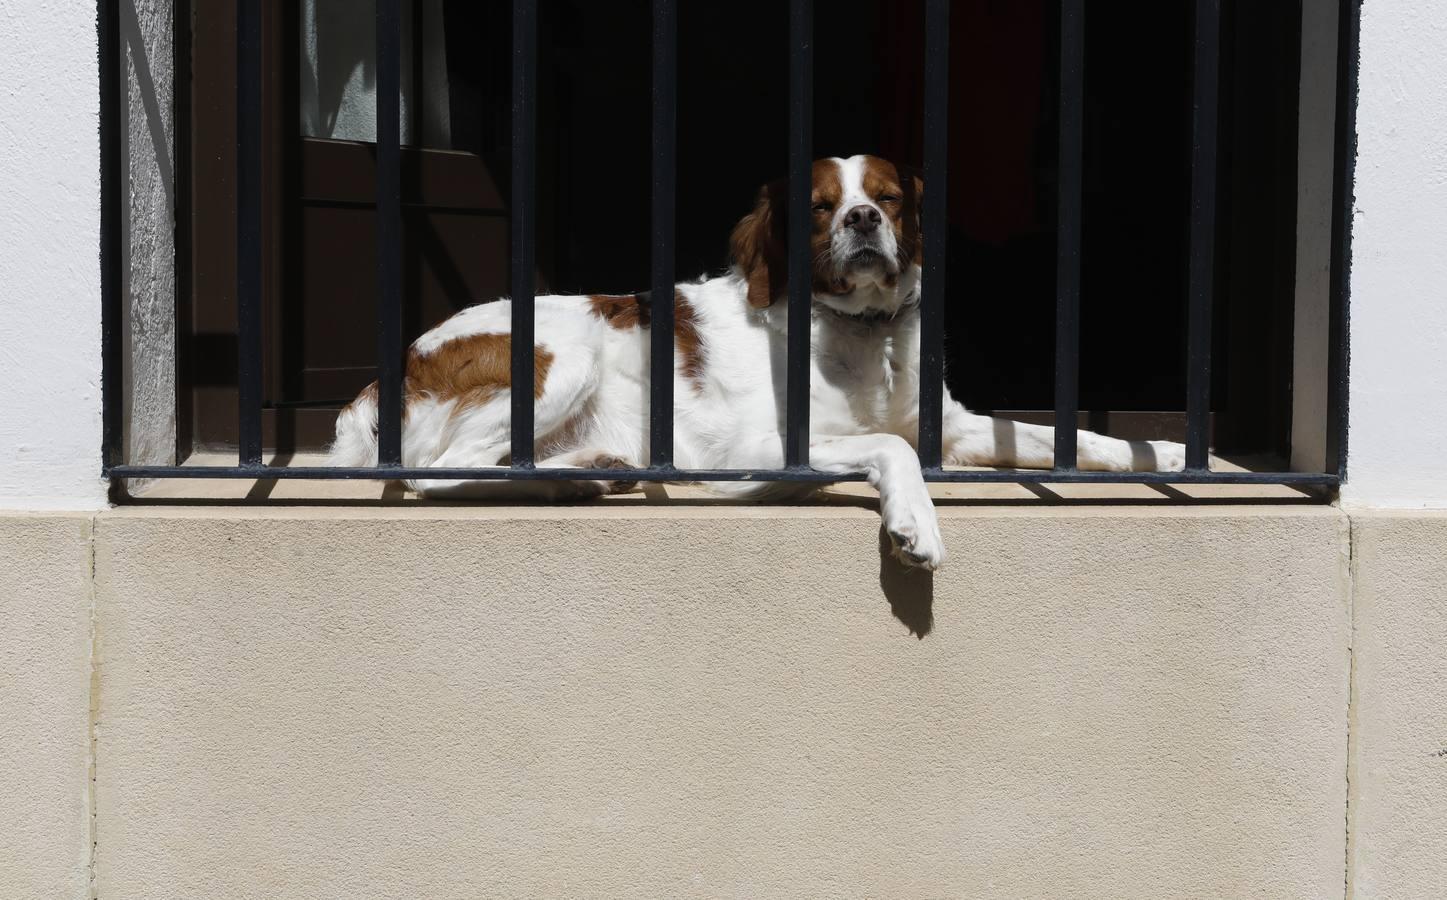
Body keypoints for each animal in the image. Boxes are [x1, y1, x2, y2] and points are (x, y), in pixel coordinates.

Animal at [332, 151, 1180, 567]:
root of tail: (392, 370)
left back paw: (584, 473)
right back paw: (564, 483)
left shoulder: (952, 422)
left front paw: (1163, 449)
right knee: (436, 473)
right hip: (564, 351)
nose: (862, 220)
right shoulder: (754, 448)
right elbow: (890, 446)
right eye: (820, 207)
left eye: (886, 197)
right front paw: (914, 526)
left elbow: (1066, 437)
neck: (864, 334)